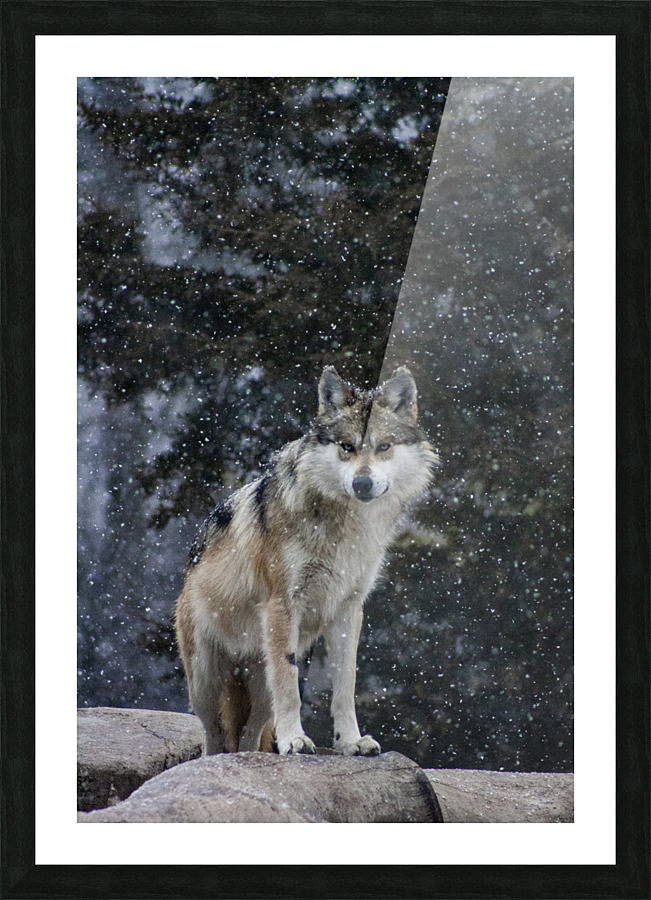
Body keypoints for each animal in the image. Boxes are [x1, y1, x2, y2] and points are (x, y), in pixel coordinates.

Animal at [175, 365, 438, 756]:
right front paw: (294, 739)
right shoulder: (283, 603)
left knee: (248, 735)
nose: (362, 484)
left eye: (384, 447)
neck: (347, 528)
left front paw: (351, 742)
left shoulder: (349, 609)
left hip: (258, 684)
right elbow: (290, 685)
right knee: (214, 735)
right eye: (347, 447)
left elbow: (345, 686)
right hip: (206, 682)